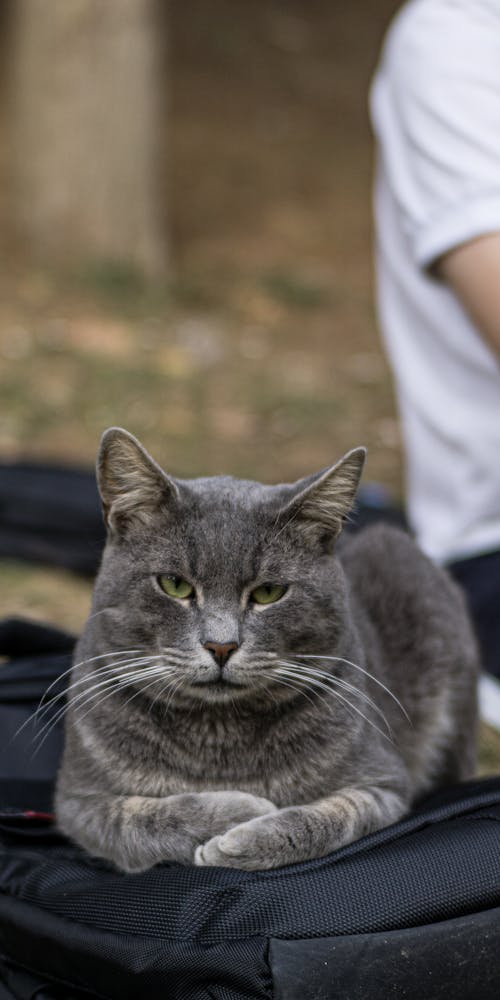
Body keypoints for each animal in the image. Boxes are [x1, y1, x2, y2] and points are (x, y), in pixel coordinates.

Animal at [53, 426, 476, 872]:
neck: (217, 738)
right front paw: (241, 809)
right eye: (175, 584)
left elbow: (331, 817)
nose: (221, 645)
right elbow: (141, 820)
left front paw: (242, 839)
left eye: (269, 592)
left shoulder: (385, 784)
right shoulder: (78, 802)